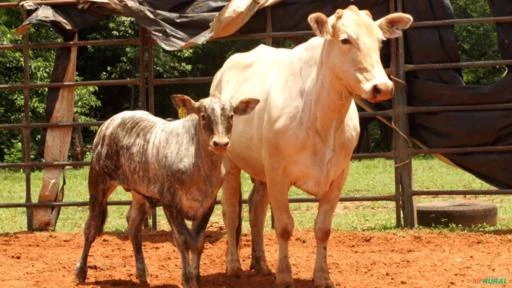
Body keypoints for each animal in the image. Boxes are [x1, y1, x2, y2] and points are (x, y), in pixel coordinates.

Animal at [210, 5, 414, 288]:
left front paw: (322, 276)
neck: (321, 119)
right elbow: (284, 226)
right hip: (229, 160)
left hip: (261, 169)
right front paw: (285, 276)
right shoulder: (278, 173)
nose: (382, 87)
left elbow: (323, 228)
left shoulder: (337, 176)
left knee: (256, 208)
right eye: (345, 40)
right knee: (230, 211)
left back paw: (261, 264)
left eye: (380, 41)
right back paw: (234, 267)